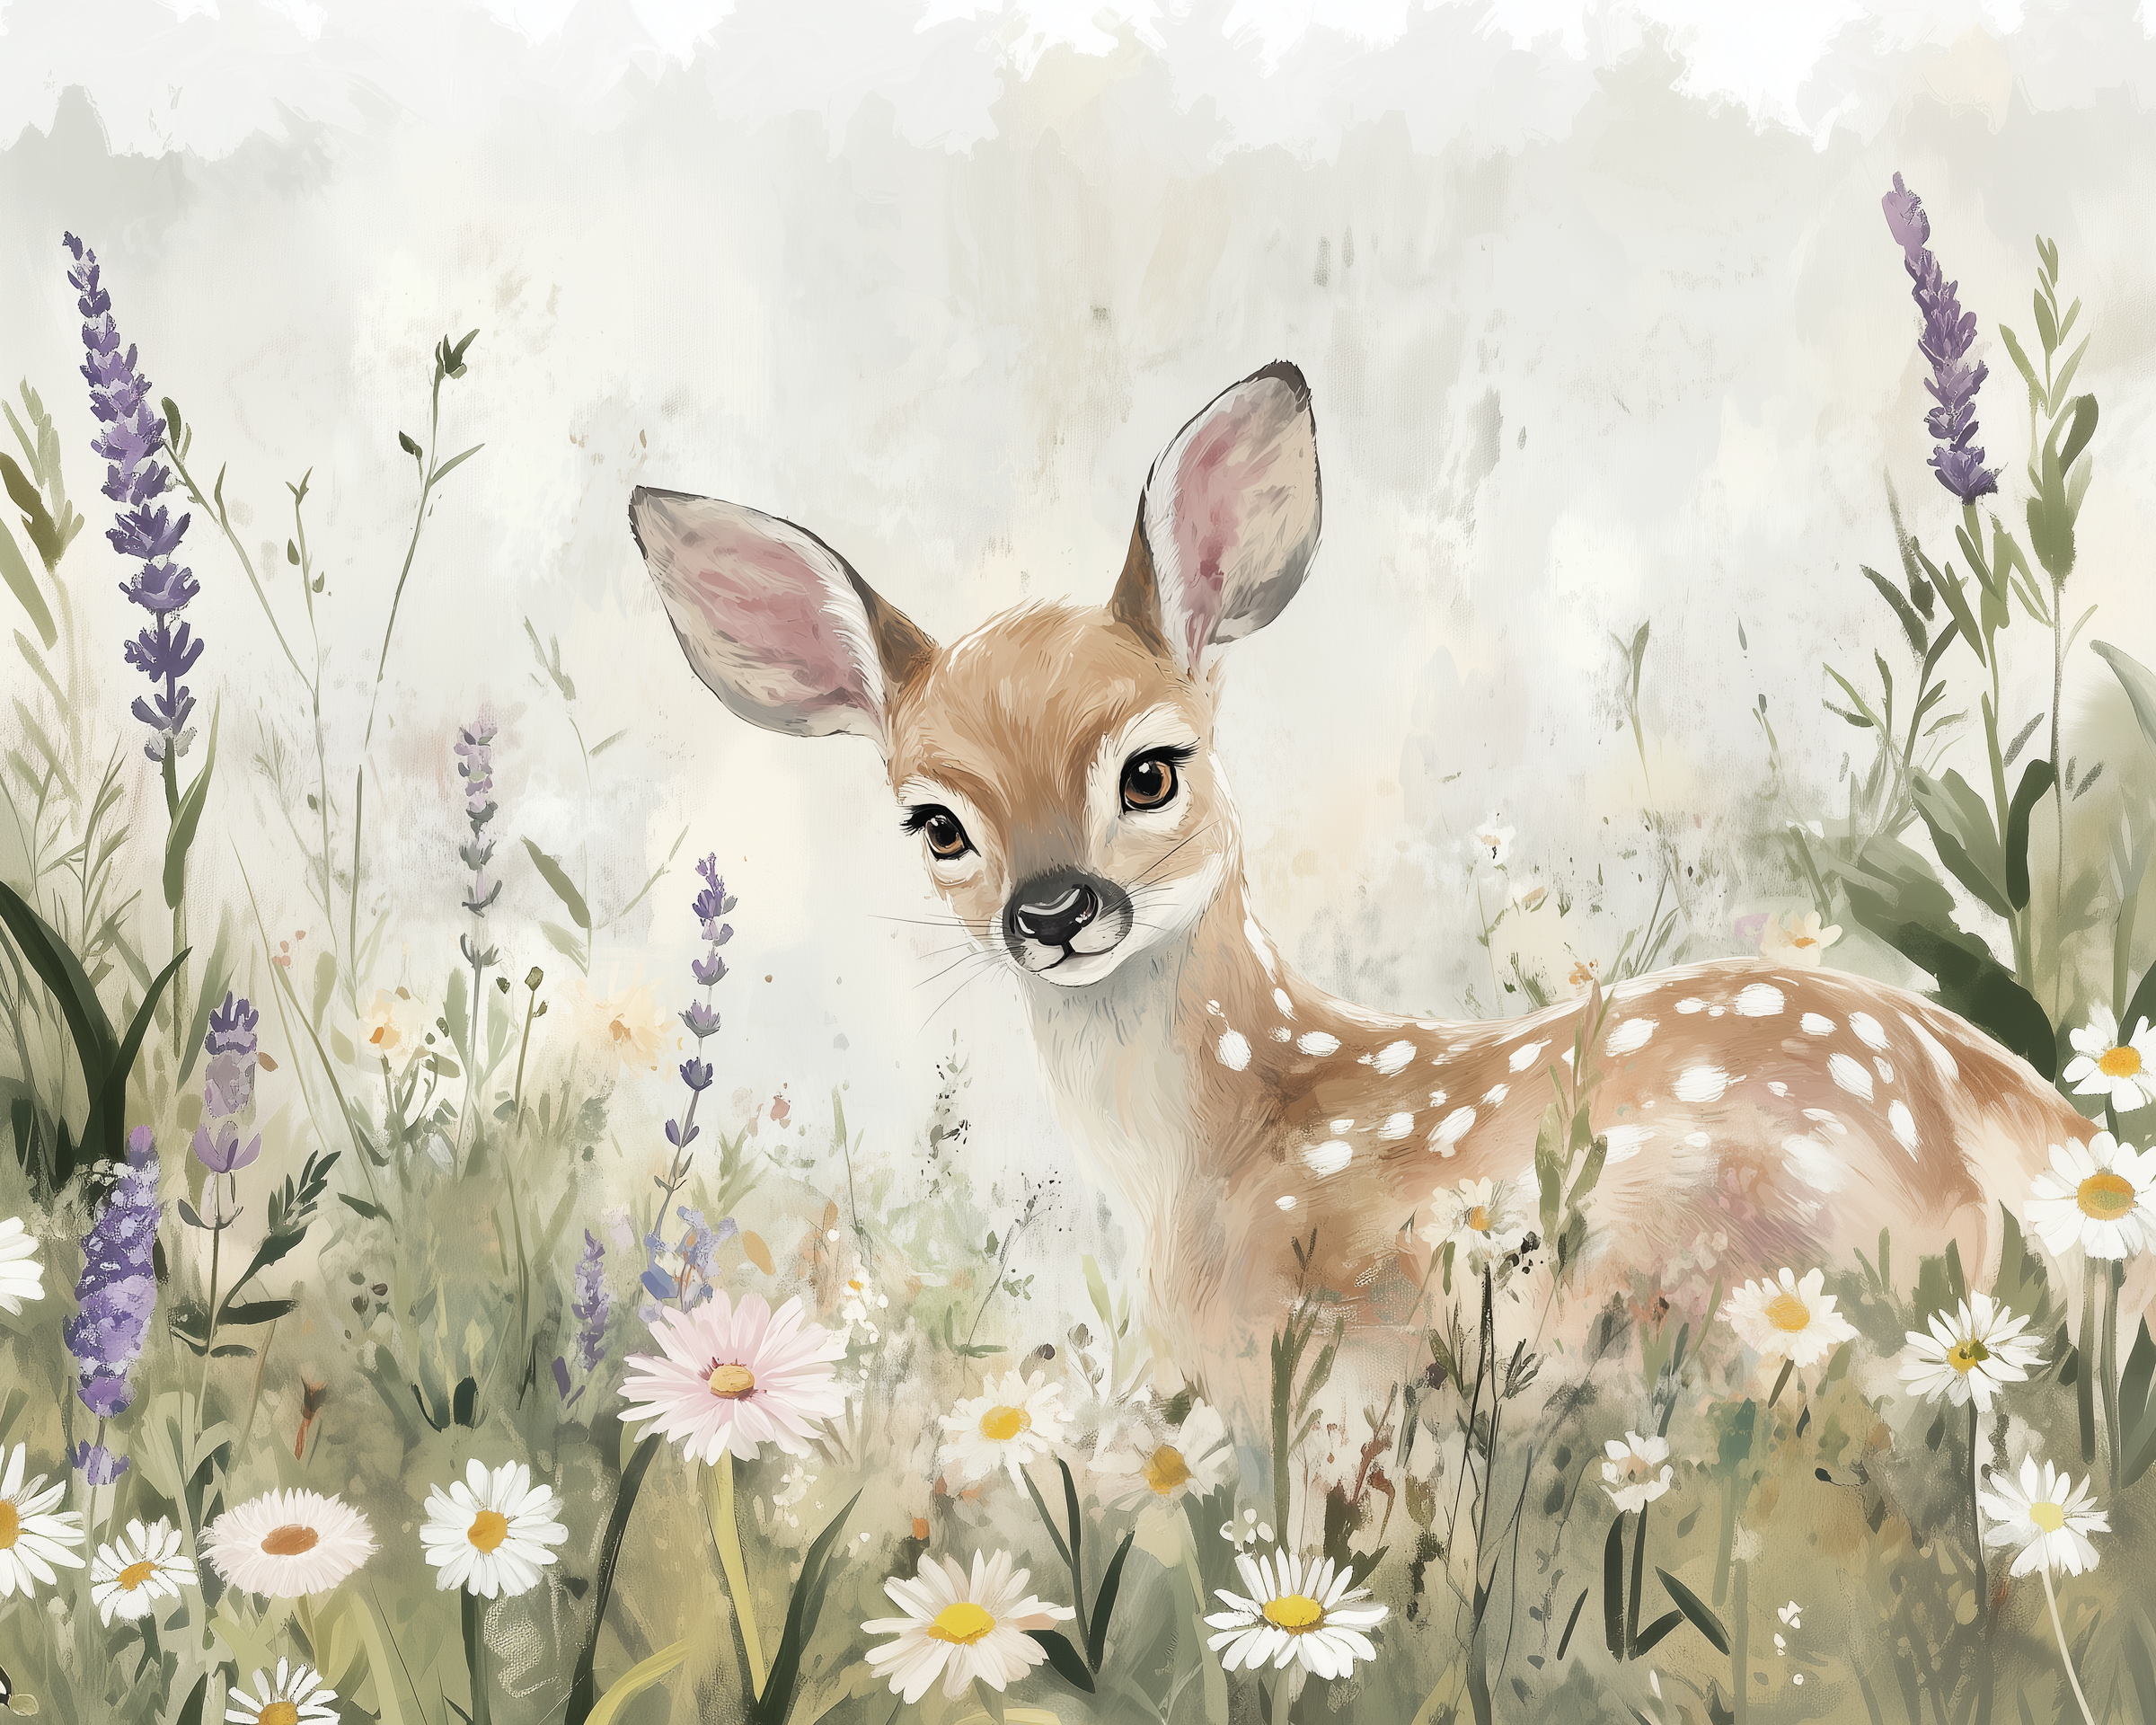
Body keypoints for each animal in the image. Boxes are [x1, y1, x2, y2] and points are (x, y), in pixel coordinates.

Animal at [628, 362, 2113, 1426]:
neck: (1222, 1146)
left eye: (1152, 770)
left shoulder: (1328, 1382)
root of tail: (2032, 1133)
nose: (1052, 912)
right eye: (937, 823)